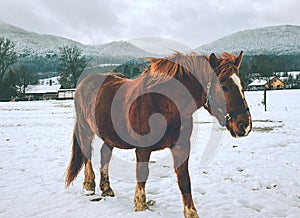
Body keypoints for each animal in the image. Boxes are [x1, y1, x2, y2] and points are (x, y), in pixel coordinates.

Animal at [66, 51, 253, 218]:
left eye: (242, 85)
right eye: (224, 86)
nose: (244, 125)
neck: (163, 104)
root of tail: (83, 84)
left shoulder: (181, 147)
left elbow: (184, 181)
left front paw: (191, 212)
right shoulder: (143, 149)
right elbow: (142, 174)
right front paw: (141, 206)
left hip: (109, 135)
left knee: (104, 155)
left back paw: (106, 189)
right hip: (85, 129)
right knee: (87, 154)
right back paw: (89, 184)